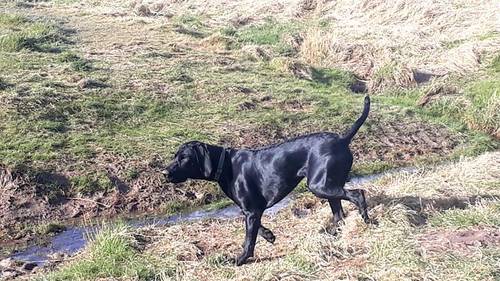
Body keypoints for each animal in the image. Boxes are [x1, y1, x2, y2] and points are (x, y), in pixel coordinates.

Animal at [164, 95, 372, 264]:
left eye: (184, 158)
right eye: (175, 156)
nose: (164, 173)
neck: (226, 165)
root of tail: (343, 140)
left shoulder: (251, 211)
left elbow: (249, 241)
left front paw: (240, 259)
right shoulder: (250, 211)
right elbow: (257, 229)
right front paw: (269, 235)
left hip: (320, 185)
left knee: (358, 195)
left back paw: (367, 220)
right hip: (326, 185)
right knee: (339, 214)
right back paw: (332, 234)